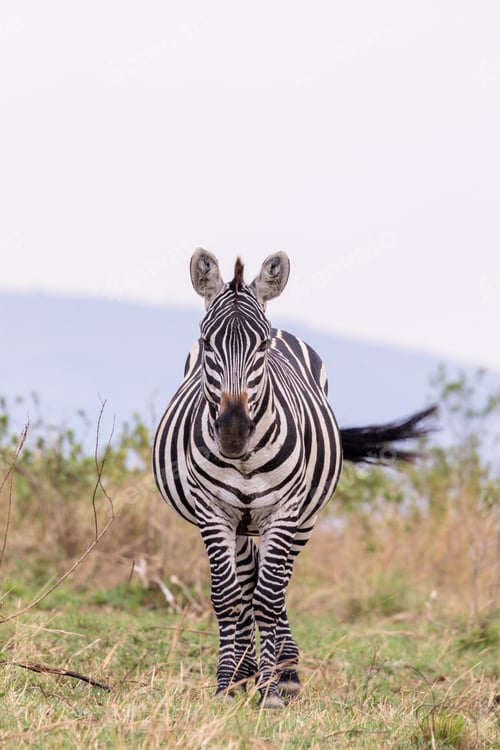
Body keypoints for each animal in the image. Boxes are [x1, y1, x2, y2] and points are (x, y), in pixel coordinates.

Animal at [153, 249, 435, 708]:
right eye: (208, 342)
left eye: (262, 345)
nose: (233, 432)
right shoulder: (213, 514)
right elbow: (228, 597)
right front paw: (228, 684)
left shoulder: (284, 512)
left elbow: (269, 597)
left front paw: (272, 690)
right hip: (240, 522)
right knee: (248, 581)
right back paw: (248, 670)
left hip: (304, 518)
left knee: (277, 583)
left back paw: (284, 671)